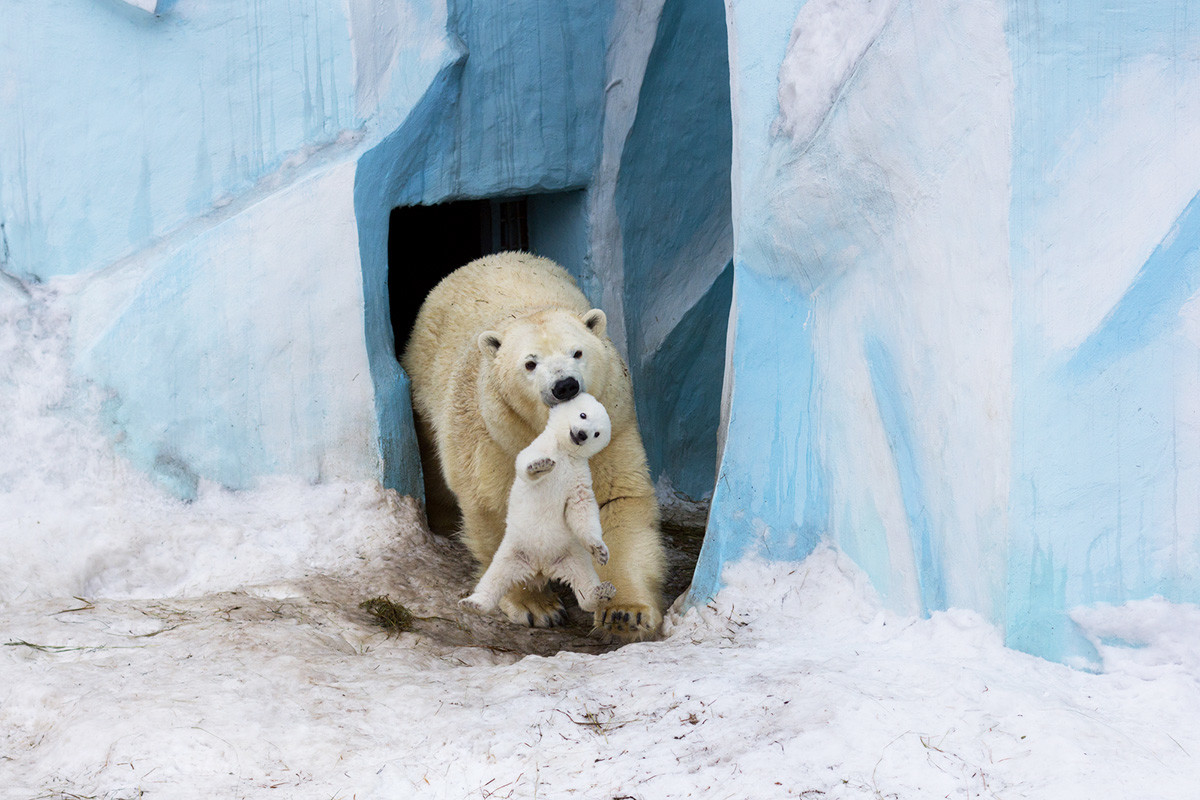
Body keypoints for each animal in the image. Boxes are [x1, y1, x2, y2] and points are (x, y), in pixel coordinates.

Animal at [403, 253, 667, 642]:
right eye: (530, 363)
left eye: (577, 352)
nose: (565, 385)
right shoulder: (496, 437)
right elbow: (496, 507)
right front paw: (535, 605)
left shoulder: (613, 427)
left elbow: (614, 500)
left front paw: (625, 613)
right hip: (426, 385)